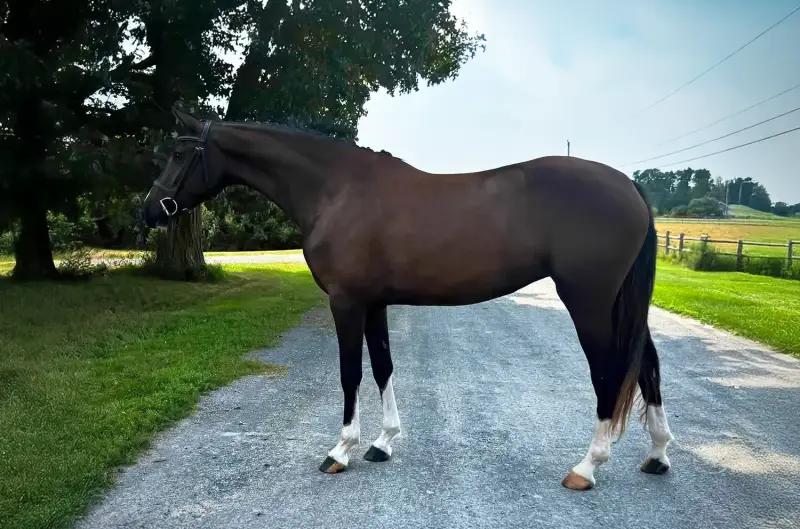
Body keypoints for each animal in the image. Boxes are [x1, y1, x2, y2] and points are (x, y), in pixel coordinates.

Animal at [143, 108, 675, 491]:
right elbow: (383, 367)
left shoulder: (346, 302)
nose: (147, 210)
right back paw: (658, 454)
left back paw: (587, 467)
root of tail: (629, 185)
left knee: (609, 372)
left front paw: (341, 451)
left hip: (589, 302)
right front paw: (383, 443)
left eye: (178, 154)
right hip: (618, 304)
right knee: (647, 363)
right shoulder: (374, 302)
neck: (336, 190)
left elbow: (351, 373)